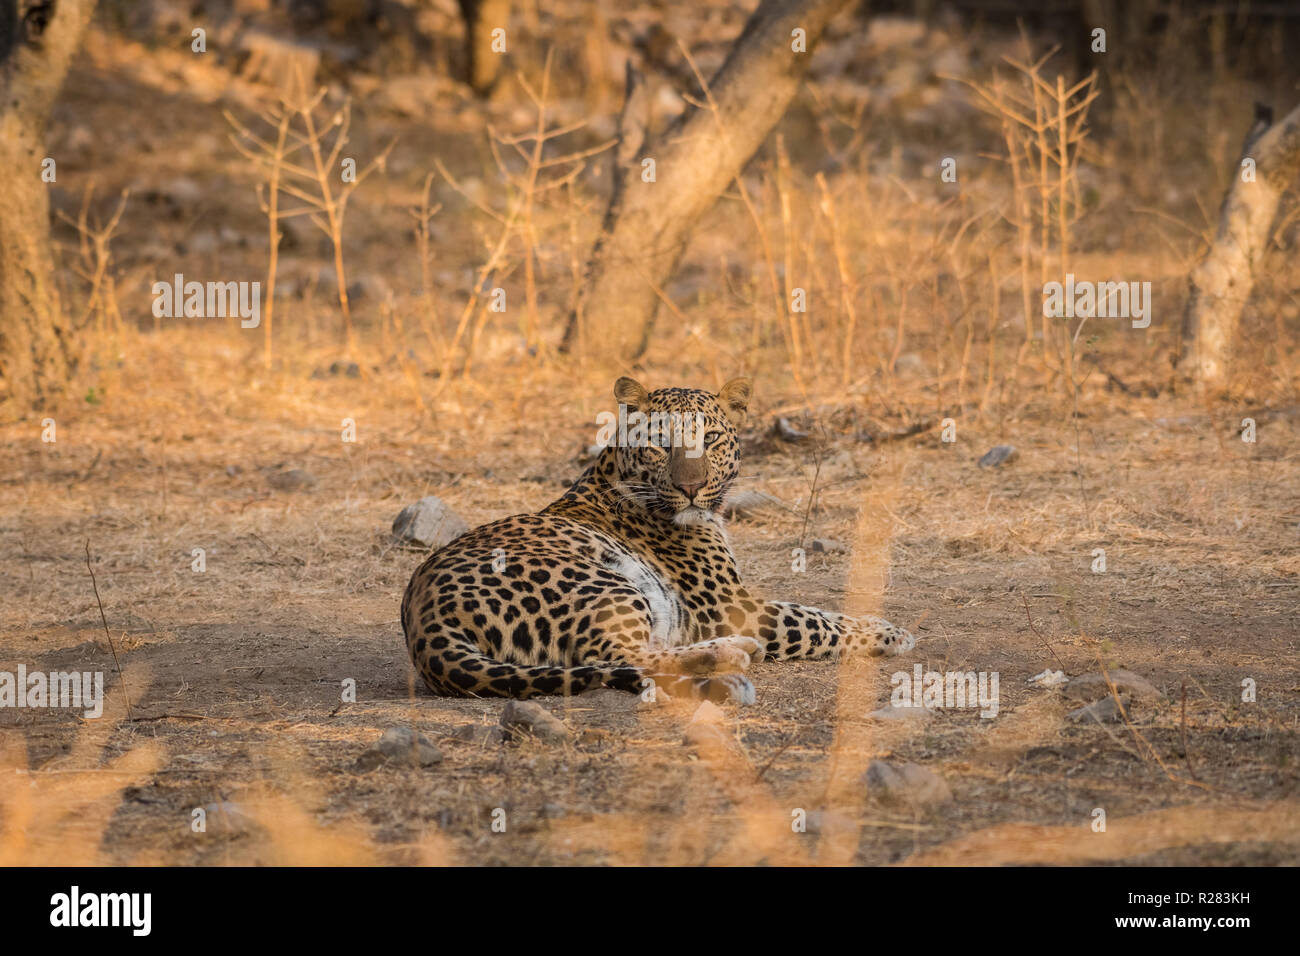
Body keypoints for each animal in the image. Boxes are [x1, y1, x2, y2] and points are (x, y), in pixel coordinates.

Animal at [400, 377, 920, 707]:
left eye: (710, 439)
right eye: (660, 444)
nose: (691, 488)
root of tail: (424, 625)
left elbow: (813, 608)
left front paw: (883, 625)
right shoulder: (732, 604)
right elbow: (813, 621)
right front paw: (889, 634)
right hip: (602, 582)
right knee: (624, 656)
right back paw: (730, 655)